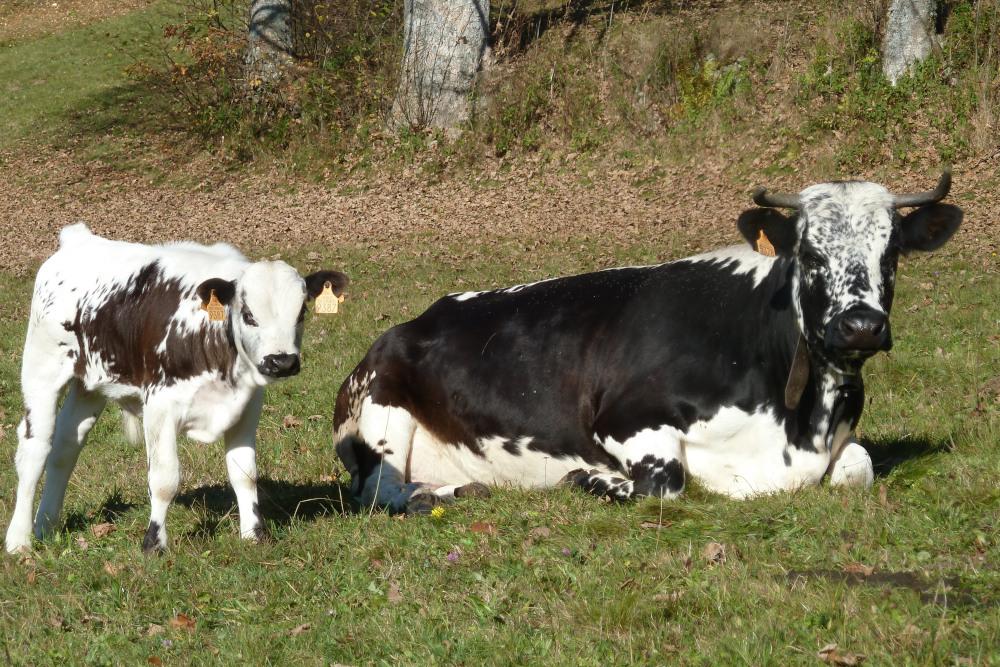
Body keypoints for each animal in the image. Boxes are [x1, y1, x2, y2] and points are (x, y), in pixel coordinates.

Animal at [4, 224, 348, 554]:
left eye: (301, 313)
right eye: (249, 315)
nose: (282, 361)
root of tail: (80, 238)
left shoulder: (247, 407)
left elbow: (245, 473)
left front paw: (254, 534)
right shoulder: (159, 406)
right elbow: (164, 479)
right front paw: (153, 542)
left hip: (89, 385)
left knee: (65, 447)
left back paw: (45, 525)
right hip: (41, 369)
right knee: (35, 449)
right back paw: (19, 539)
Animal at [333, 173, 961, 513]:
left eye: (892, 252)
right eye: (810, 253)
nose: (861, 325)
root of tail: (409, 322)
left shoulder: (839, 443)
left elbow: (860, 467)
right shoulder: (625, 419)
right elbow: (665, 484)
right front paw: (593, 478)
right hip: (381, 412)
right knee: (381, 491)